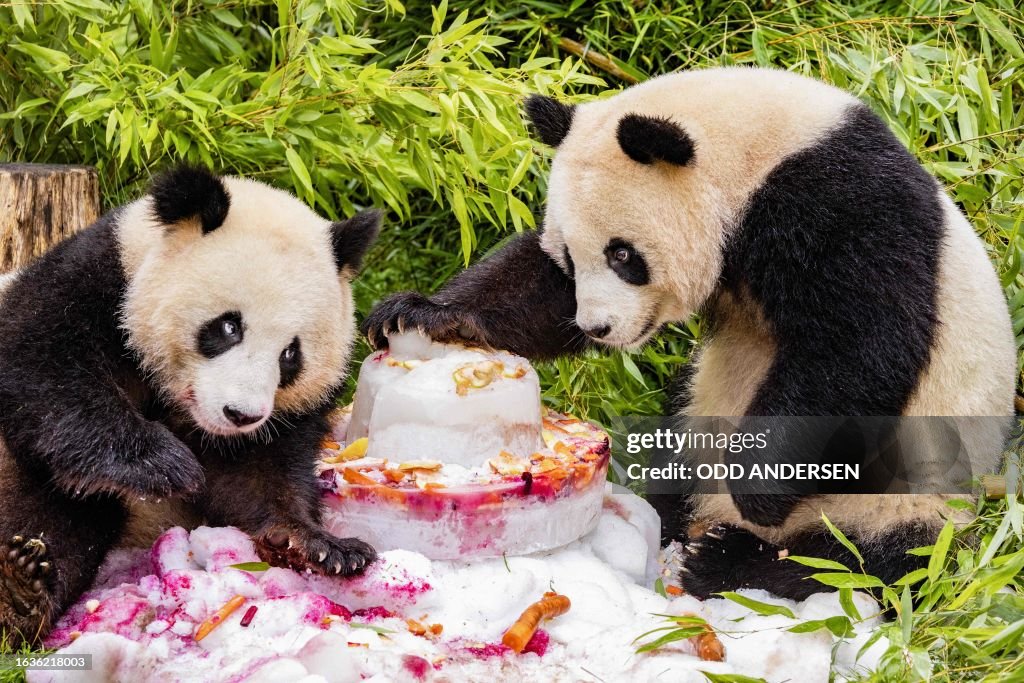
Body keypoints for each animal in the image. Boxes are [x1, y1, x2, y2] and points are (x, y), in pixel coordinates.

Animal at [0, 166, 380, 646]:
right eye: (229, 326)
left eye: (291, 354)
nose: (241, 415)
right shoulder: (83, 287)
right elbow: (45, 371)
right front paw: (162, 465)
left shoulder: (274, 423)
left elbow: (261, 474)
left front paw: (319, 544)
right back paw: (19, 593)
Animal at [363, 67, 1017, 601]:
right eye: (572, 257)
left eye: (624, 255)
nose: (598, 327)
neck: (755, 150)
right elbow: (533, 287)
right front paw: (423, 314)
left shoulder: (841, 202)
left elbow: (858, 344)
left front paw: (759, 485)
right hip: (697, 409)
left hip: (913, 490)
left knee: (865, 560)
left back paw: (728, 558)